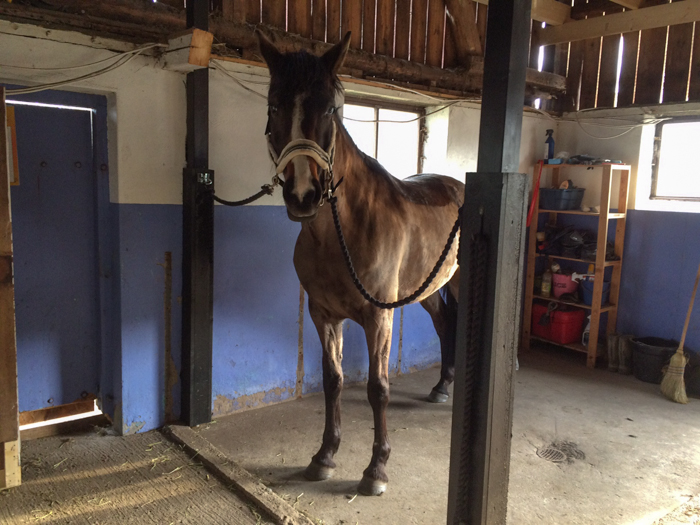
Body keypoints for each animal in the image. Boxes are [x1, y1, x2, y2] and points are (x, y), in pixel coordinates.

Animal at [257, 30, 464, 496]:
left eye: (330, 108)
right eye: (275, 105)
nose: (303, 195)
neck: (340, 232)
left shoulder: (378, 317)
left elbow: (377, 388)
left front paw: (376, 469)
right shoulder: (323, 315)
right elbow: (333, 380)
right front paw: (324, 456)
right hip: (431, 288)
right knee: (445, 324)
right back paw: (442, 386)